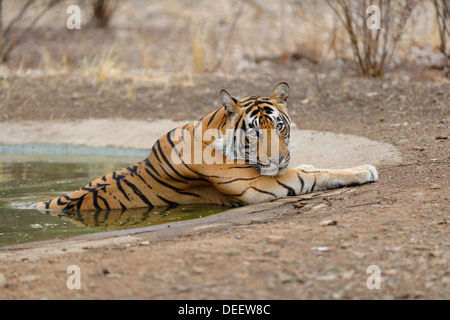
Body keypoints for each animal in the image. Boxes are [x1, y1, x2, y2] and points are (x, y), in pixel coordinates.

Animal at [36, 82, 380, 212]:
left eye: (280, 126)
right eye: (255, 132)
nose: (280, 159)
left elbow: (309, 167)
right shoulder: (257, 185)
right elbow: (317, 174)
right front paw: (365, 169)